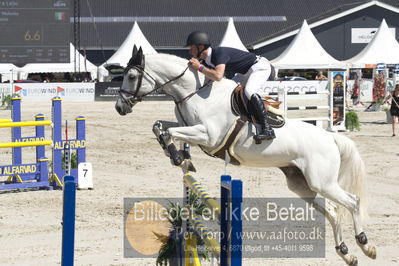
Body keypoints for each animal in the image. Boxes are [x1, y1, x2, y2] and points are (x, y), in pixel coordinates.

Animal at [116, 46, 378, 264]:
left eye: (131, 76)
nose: (120, 107)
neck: (194, 92)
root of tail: (331, 137)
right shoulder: (189, 127)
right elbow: (159, 126)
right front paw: (181, 158)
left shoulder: (208, 136)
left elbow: (169, 131)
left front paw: (178, 156)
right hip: (304, 186)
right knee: (333, 211)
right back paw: (346, 253)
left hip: (322, 182)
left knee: (353, 202)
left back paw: (365, 245)